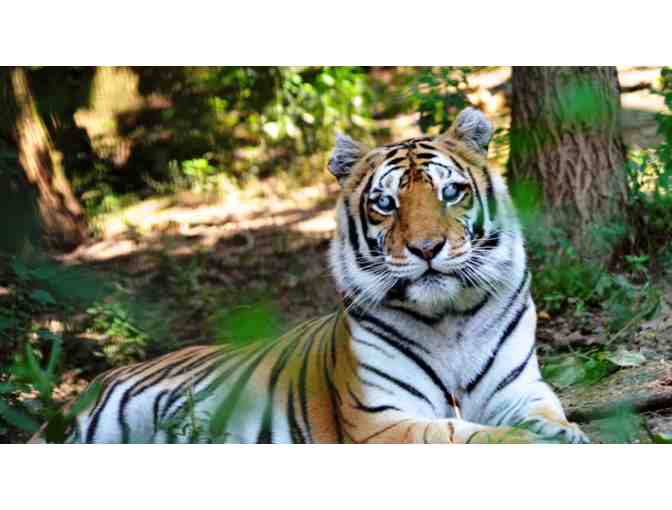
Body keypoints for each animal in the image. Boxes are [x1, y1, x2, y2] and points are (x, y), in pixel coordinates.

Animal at [30, 107, 588, 444]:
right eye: (386, 204)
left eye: (451, 192)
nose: (426, 249)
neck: (449, 317)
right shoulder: (382, 420)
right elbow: (465, 433)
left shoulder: (521, 389)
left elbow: (546, 413)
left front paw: (562, 433)